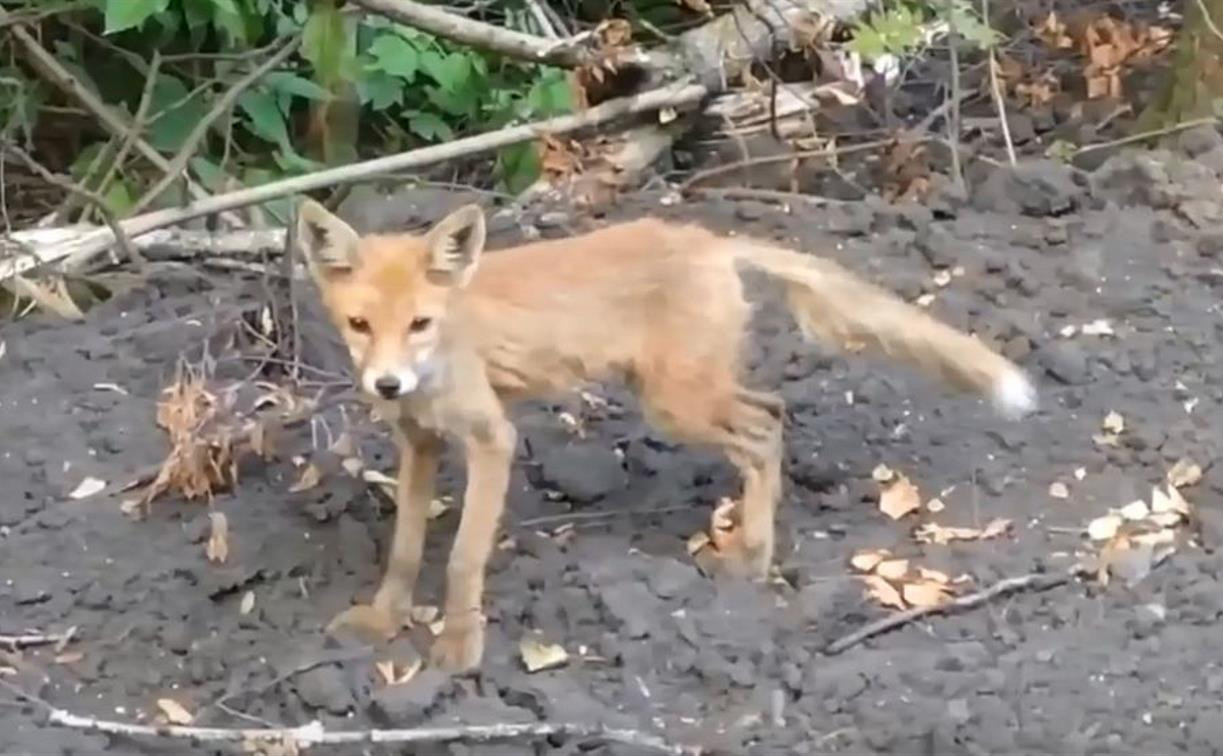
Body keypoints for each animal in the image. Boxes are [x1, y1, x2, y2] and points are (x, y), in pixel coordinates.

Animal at [293, 196, 1032, 670]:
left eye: (419, 323)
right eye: (360, 325)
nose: (387, 385)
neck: (439, 361)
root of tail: (710, 240)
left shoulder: (490, 439)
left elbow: (461, 559)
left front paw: (457, 651)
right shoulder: (419, 444)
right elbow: (405, 551)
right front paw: (384, 621)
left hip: (676, 404)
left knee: (761, 435)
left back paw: (752, 560)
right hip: (692, 392)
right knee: (772, 411)